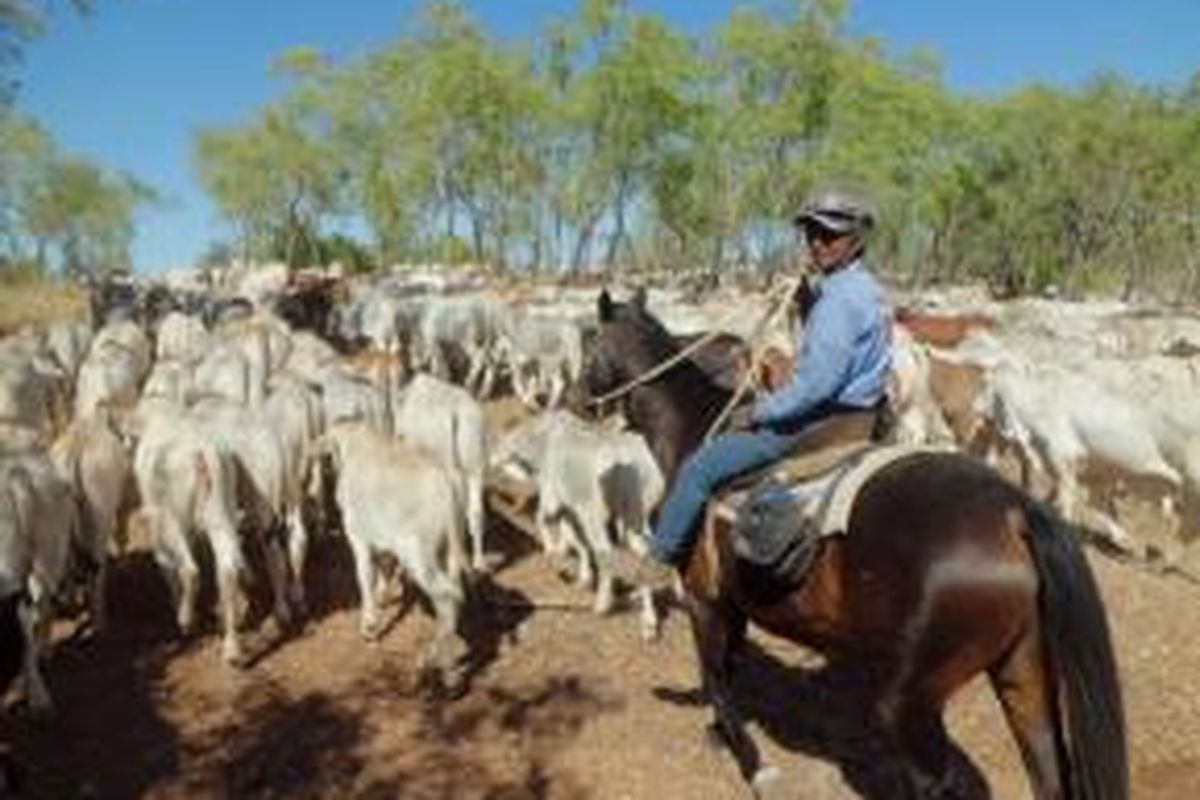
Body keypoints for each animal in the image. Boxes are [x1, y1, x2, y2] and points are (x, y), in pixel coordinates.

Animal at [585, 291, 1128, 800]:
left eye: (588, 341)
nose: (579, 402)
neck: (695, 429)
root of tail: (1014, 512)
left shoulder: (706, 600)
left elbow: (717, 678)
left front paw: (755, 765)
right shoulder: (732, 603)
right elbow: (732, 667)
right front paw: (722, 735)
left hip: (910, 703)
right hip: (1023, 675)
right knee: (1049, 769)